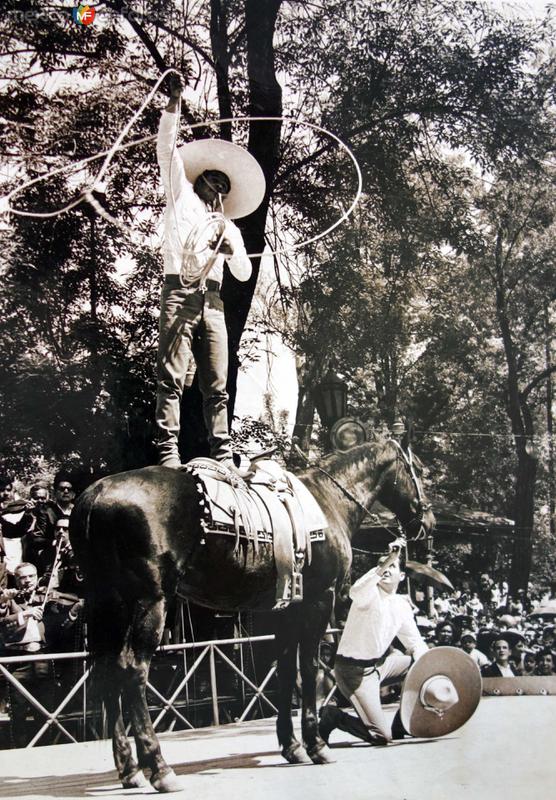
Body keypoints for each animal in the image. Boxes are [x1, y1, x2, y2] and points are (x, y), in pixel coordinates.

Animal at [69, 440, 434, 792]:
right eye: (419, 470)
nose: (428, 523)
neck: (328, 501)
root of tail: (96, 495)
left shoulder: (286, 611)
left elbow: (285, 671)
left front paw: (292, 746)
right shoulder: (319, 602)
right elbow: (309, 668)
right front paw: (315, 745)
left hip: (109, 604)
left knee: (108, 670)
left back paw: (129, 769)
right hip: (150, 601)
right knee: (133, 671)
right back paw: (159, 768)